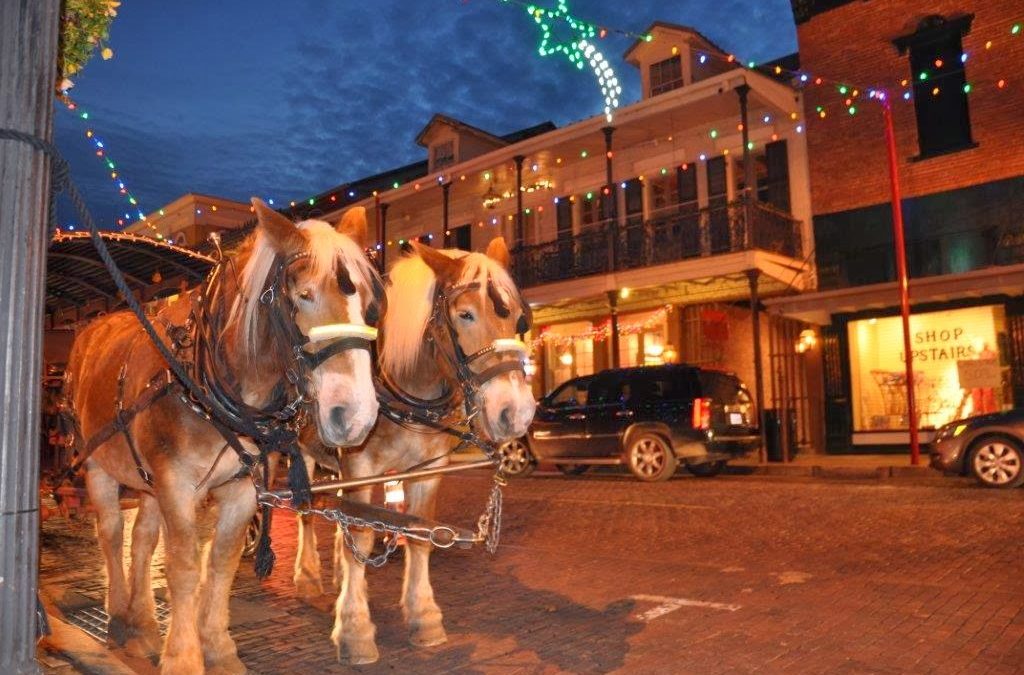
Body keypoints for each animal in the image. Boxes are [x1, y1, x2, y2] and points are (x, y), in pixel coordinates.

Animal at [66, 200, 382, 675]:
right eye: (303, 295)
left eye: (365, 302)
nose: (355, 415)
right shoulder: (176, 484)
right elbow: (183, 567)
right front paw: (183, 657)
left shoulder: (241, 489)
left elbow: (220, 563)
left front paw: (216, 647)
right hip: (96, 464)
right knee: (111, 533)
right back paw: (120, 618)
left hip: (145, 478)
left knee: (141, 540)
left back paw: (144, 627)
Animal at [286, 238, 536, 663]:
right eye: (466, 314)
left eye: (519, 318)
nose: (515, 412)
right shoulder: (360, 465)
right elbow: (361, 534)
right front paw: (354, 630)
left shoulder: (428, 468)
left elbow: (420, 534)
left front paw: (424, 617)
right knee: (306, 512)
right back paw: (308, 576)